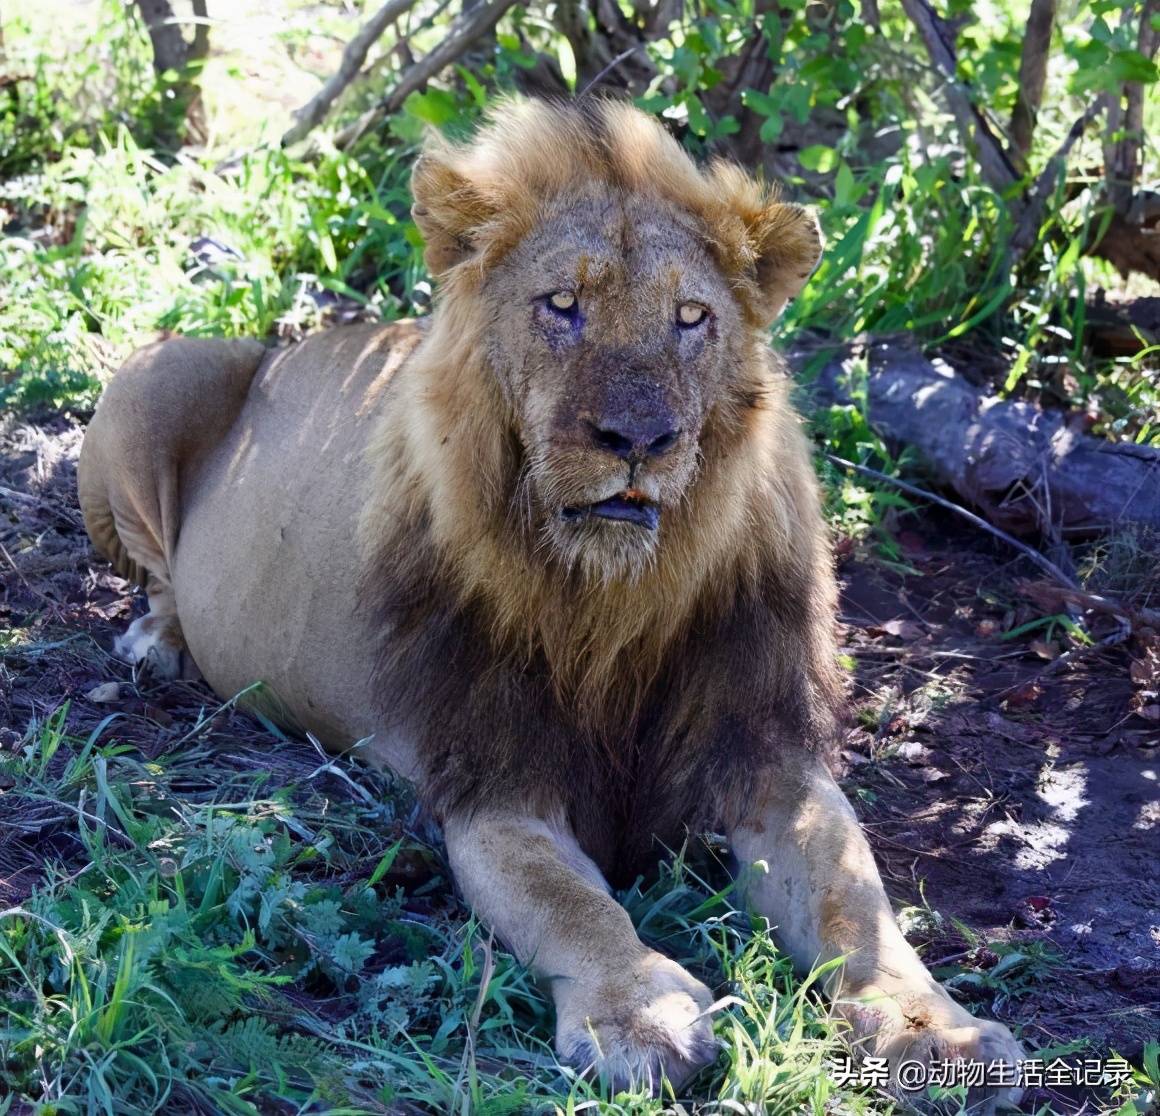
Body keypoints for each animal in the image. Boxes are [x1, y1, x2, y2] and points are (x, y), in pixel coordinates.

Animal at [79, 99, 1025, 1109]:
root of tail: (285, 344)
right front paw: (637, 1013)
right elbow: (572, 904)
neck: (616, 597)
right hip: (157, 375)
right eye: (561, 306)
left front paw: (938, 1032)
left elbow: (857, 901)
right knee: (156, 568)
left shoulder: (766, 755)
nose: (638, 438)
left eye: (692, 318)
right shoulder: (496, 782)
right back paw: (157, 639)